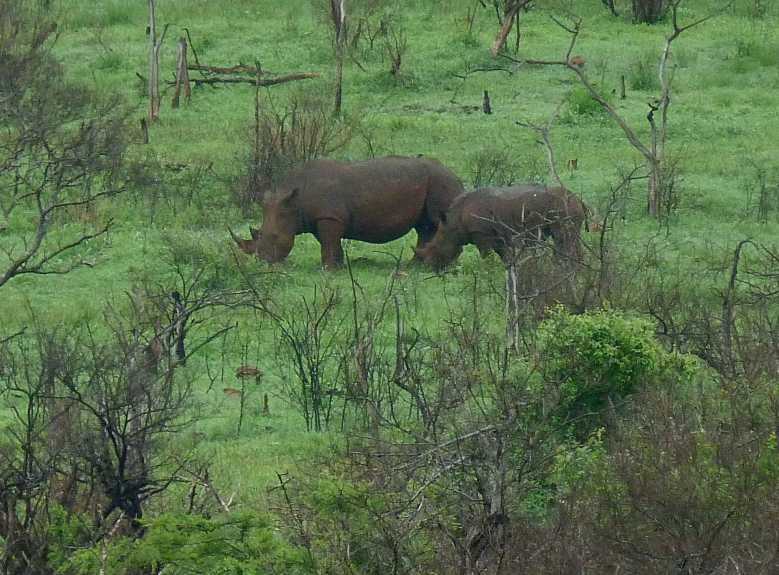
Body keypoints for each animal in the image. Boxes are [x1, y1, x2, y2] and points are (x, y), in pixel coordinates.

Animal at [230, 156, 464, 272]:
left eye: (274, 237)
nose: (262, 262)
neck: (294, 202)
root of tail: (455, 175)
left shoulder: (329, 217)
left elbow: (328, 243)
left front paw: (328, 270)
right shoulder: (323, 218)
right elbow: (331, 243)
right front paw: (339, 267)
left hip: (440, 182)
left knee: (438, 223)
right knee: (425, 226)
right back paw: (415, 265)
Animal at [414, 187, 584, 272]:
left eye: (436, 247)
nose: (428, 268)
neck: (453, 223)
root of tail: (579, 200)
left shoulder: (481, 234)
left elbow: (486, 255)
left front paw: (488, 272)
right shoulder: (496, 236)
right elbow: (504, 256)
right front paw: (507, 270)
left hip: (562, 209)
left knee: (563, 238)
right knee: (570, 240)